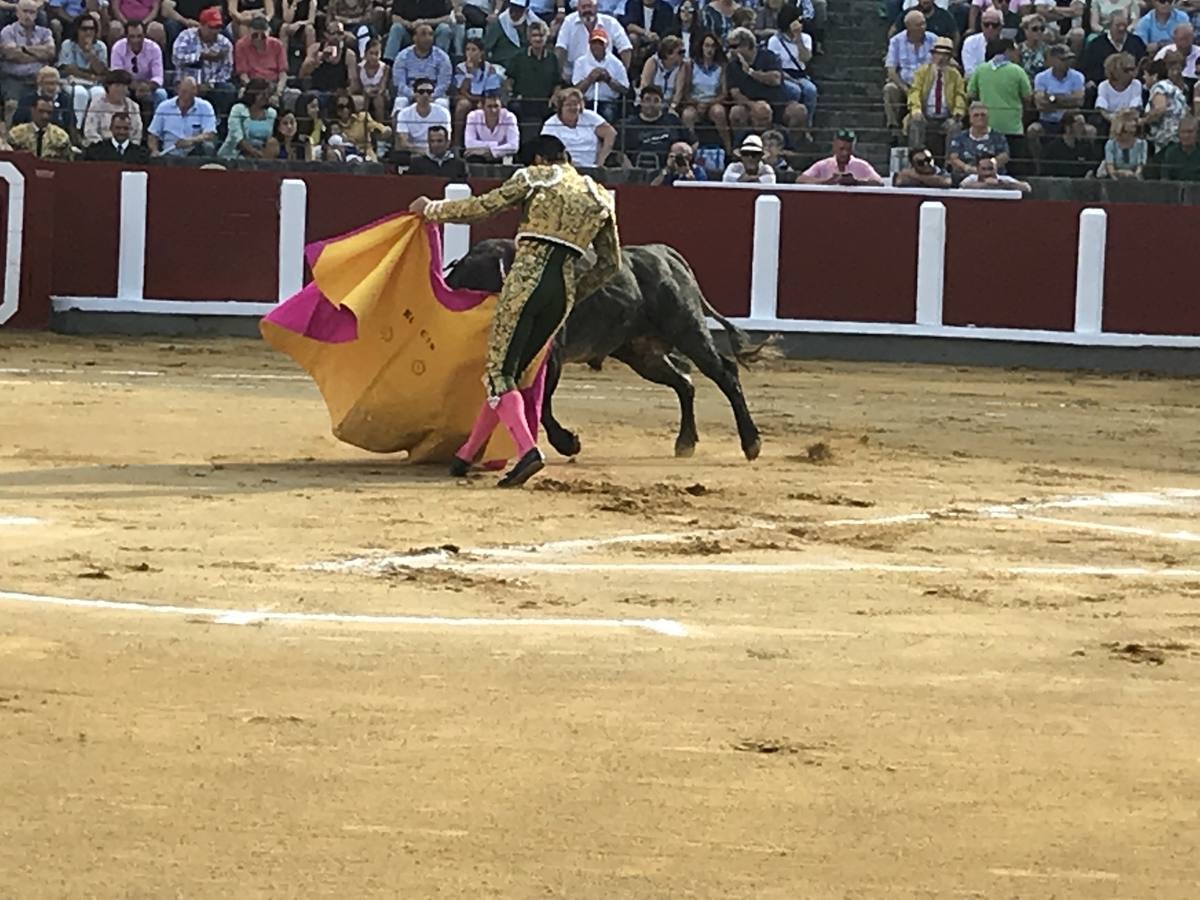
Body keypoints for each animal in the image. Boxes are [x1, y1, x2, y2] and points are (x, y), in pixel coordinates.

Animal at [446, 240, 772, 460]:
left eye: (478, 286)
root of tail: (667, 255)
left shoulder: (552, 359)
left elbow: (544, 406)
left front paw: (568, 442)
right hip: (642, 354)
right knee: (684, 383)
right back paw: (685, 443)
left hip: (688, 330)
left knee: (724, 373)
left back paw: (751, 443)